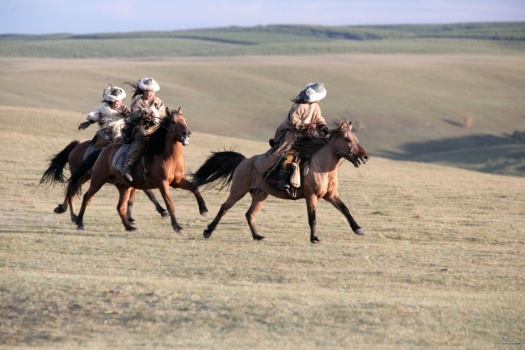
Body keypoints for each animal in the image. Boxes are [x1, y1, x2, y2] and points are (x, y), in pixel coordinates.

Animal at [39, 139, 167, 223]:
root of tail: (77, 145)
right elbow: (149, 194)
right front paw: (162, 210)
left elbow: (135, 198)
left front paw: (130, 217)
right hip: (82, 176)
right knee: (72, 190)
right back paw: (73, 215)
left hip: (86, 176)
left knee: (71, 190)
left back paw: (63, 209)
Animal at [67, 106, 209, 232]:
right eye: (173, 122)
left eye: (185, 121)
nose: (187, 134)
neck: (166, 156)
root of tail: (103, 150)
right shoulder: (162, 184)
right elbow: (169, 204)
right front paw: (177, 227)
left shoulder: (177, 181)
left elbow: (194, 187)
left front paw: (204, 210)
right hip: (97, 179)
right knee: (86, 197)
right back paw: (79, 222)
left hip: (124, 186)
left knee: (120, 207)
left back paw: (129, 227)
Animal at [191, 119, 368, 242]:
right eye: (347, 139)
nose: (365, 157)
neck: (321, 166)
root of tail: (244, 161)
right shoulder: (311, 196)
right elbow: (312, 217)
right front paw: (315, 238)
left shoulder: (331, 195)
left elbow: (345, 210)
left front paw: (358, 229)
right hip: (238, 191)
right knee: (224, 208)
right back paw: (208, 231)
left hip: (260, 195)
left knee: (249, 214)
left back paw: (258, 236)